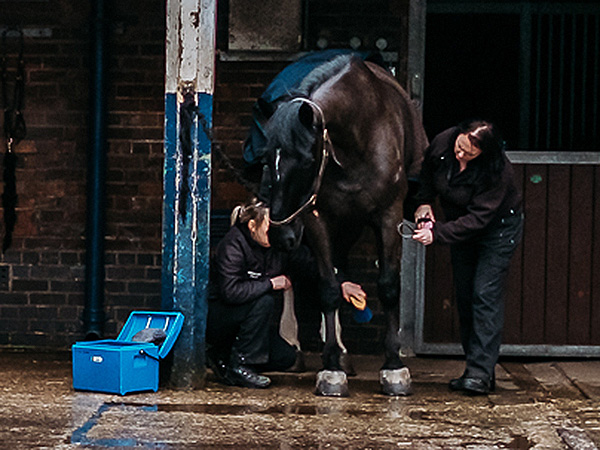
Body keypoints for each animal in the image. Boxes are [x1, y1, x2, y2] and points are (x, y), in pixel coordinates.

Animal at [258, 54, 426, 396]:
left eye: (307, 160)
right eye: (267, 158)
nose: (281, 234)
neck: (358, 137)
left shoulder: (388, 216)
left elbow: (388, 286)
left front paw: (394, 367)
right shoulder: (317, 218)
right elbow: (328, 287)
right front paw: (332, 368)